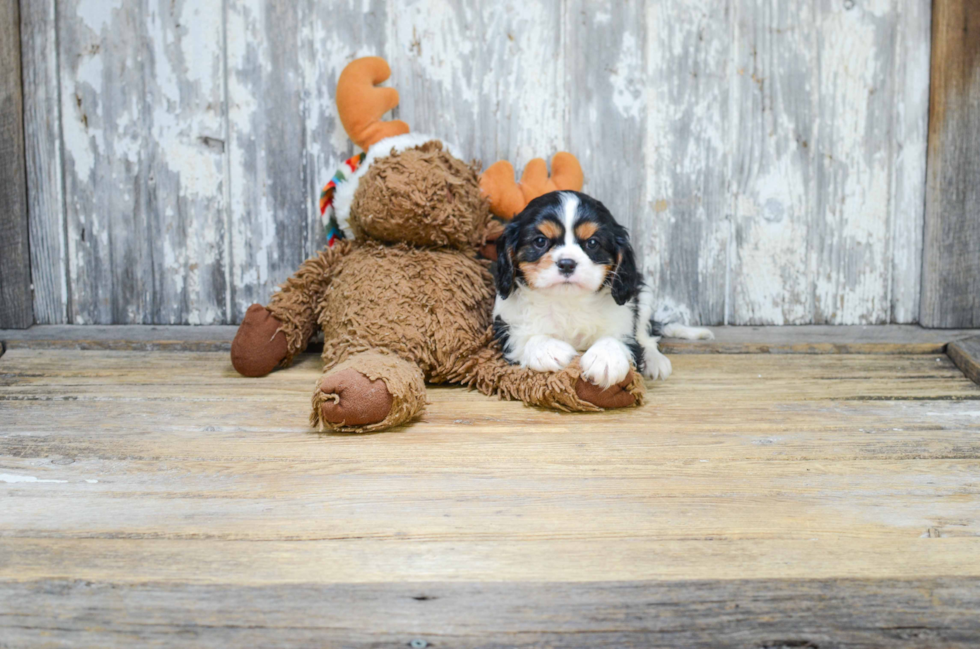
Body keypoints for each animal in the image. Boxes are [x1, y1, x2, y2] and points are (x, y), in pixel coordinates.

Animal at [490, 190, 712, 388]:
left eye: (592, 243)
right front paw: (547, 348)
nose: (567, 263)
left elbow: (619, 339)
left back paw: (655, 360)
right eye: (540, 241)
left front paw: (606, 358)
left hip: (643, 296)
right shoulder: (507, 325)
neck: (567, 301)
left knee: (646, 336)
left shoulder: (625, 320)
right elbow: (524, 339)